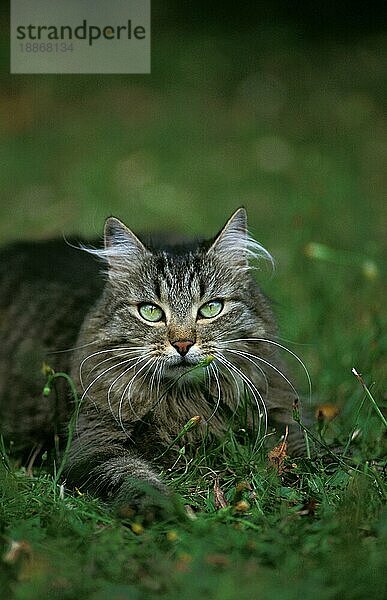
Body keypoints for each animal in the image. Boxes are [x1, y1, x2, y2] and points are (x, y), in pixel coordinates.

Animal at [0, 209, 306, 508]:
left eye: (211, 308)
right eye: (150, 312)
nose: (182, 344)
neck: (187, 402)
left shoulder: (282, 418)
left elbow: (309, 454)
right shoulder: (92, 443)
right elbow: (134, 478)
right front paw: (164, 511)